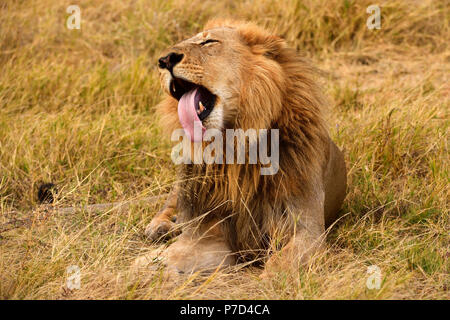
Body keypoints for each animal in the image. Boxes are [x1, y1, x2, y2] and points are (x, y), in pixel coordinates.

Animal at [137, 19, 348, 276]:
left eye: (209, 42)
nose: (164, 60)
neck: (234, 144)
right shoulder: (209, 235)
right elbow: (174, 254)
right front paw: (147, 264)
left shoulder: (308, 231)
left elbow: (282, 261)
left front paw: (271, 278)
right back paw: (162, 226)